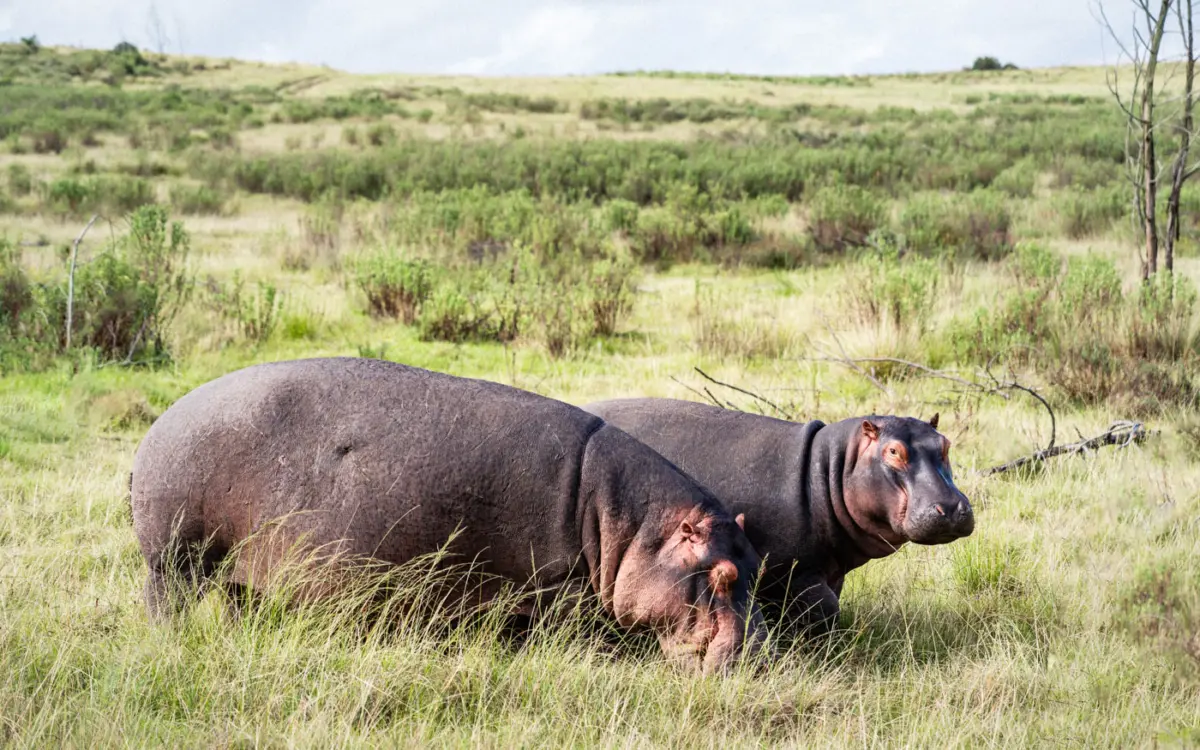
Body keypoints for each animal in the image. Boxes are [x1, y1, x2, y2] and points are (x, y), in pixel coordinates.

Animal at [131, 357, 768, 672]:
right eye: (722, 575)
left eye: (756, 564)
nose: (758, 655)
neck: (631, 527)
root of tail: (158, 425)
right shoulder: (556, 587)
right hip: (175, 556)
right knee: (168, 603)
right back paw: (174, 645)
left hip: (239, 570)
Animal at [580, 398, 974, 633]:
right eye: (893, 451)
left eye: (945, 444)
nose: (953, 508)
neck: (833, 469)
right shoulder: (796, 574)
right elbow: (826, 609)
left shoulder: (831, 569)